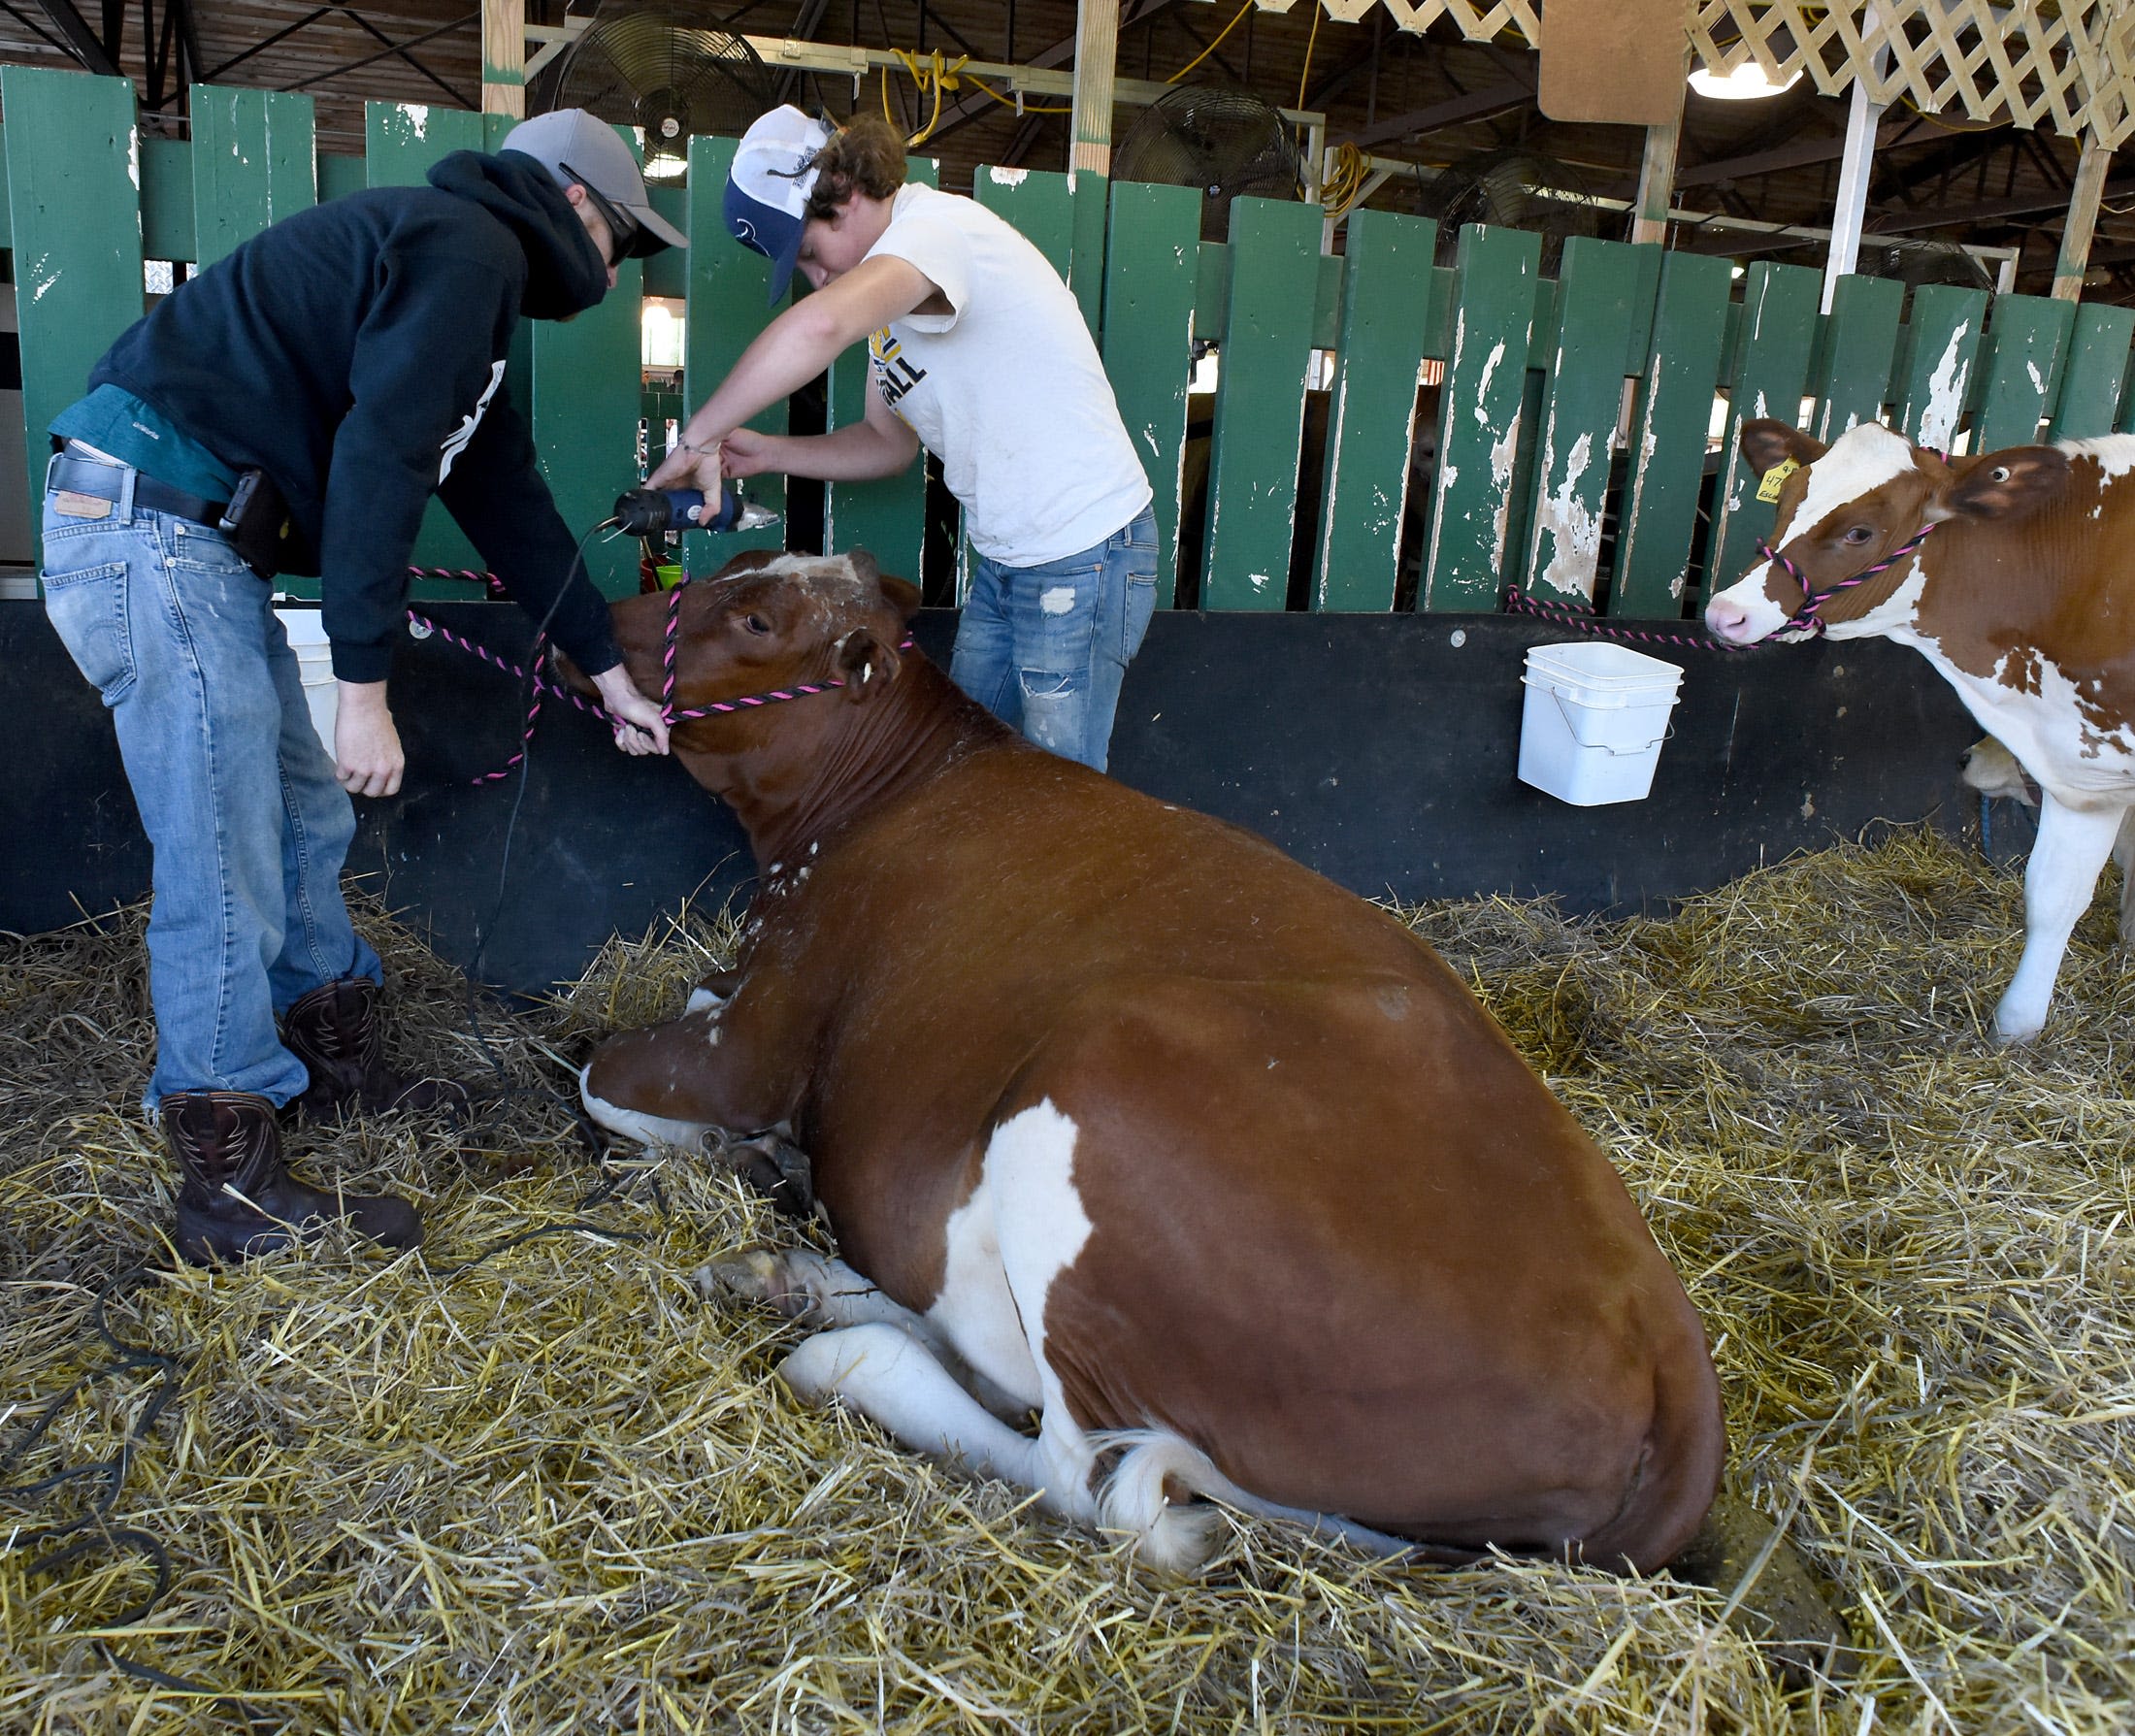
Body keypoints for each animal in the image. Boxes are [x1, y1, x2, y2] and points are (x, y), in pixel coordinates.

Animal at [563, 546, 1716, 1580]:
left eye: (758, 620)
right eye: (737, 562)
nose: (604, 622)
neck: (884, 792)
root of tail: (1671, 1360)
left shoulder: (764, 1028)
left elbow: (604, 1075)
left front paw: (741, 1150)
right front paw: (767, 1171)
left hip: (1089, 1098)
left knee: (1076, 1472)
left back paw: (829, 1329)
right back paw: (790, 1274)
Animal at [1708, 416, 2135, 1041]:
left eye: (1860, 532)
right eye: (1785, 499)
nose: (1725, 613)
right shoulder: (2085, 771)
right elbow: (2055, 893)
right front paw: (2018, 1026)